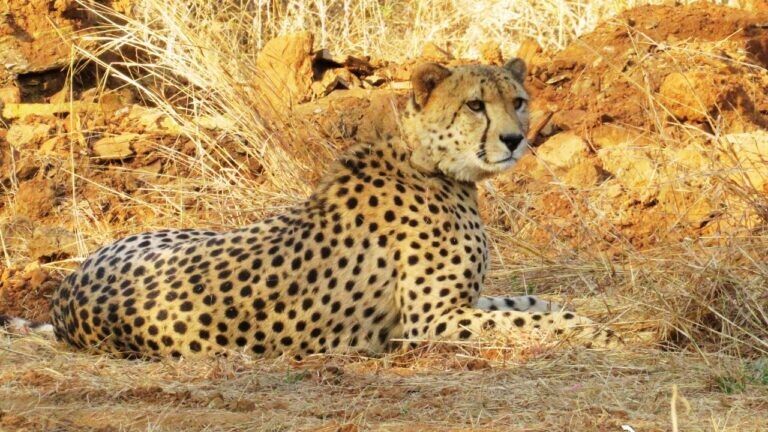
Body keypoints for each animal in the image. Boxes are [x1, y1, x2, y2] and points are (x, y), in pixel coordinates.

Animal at [40, 59, 622, 359]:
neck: (430, 164)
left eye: (517, 101)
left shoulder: (462, 303)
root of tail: (64, 294)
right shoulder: (429, 321)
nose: (514, 139)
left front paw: (590, 319)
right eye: (475, 105)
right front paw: (598, 334)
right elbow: (531, 321)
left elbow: (531, 303)